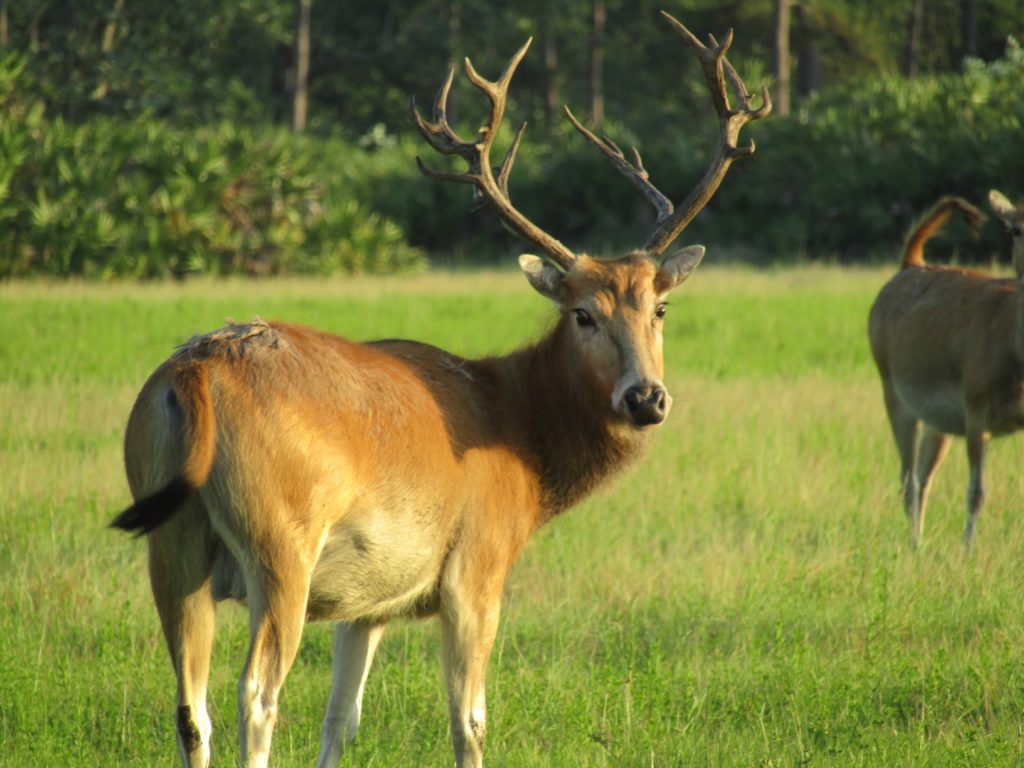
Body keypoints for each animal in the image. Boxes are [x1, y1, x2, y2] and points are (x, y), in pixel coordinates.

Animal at [111, 13, 769, 768]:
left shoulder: (368, 603)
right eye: (582, 313)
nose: (646, 399)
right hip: (280, 537)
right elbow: (470, 721)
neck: (523, 443)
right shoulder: (476, 564)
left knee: (192, 707)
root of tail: (194, 372)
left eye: (659, 308)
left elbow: (341, 719)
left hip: (171, 537)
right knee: (256, 694)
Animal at [866, 194, 1024, 547]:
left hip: (938, 419)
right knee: (907, 480)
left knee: (923, 477)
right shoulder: (976, 404)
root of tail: (909, 264)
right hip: (892, 387)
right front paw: (968, 550)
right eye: (1015, 229)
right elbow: (977, 492)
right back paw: (916, 546)